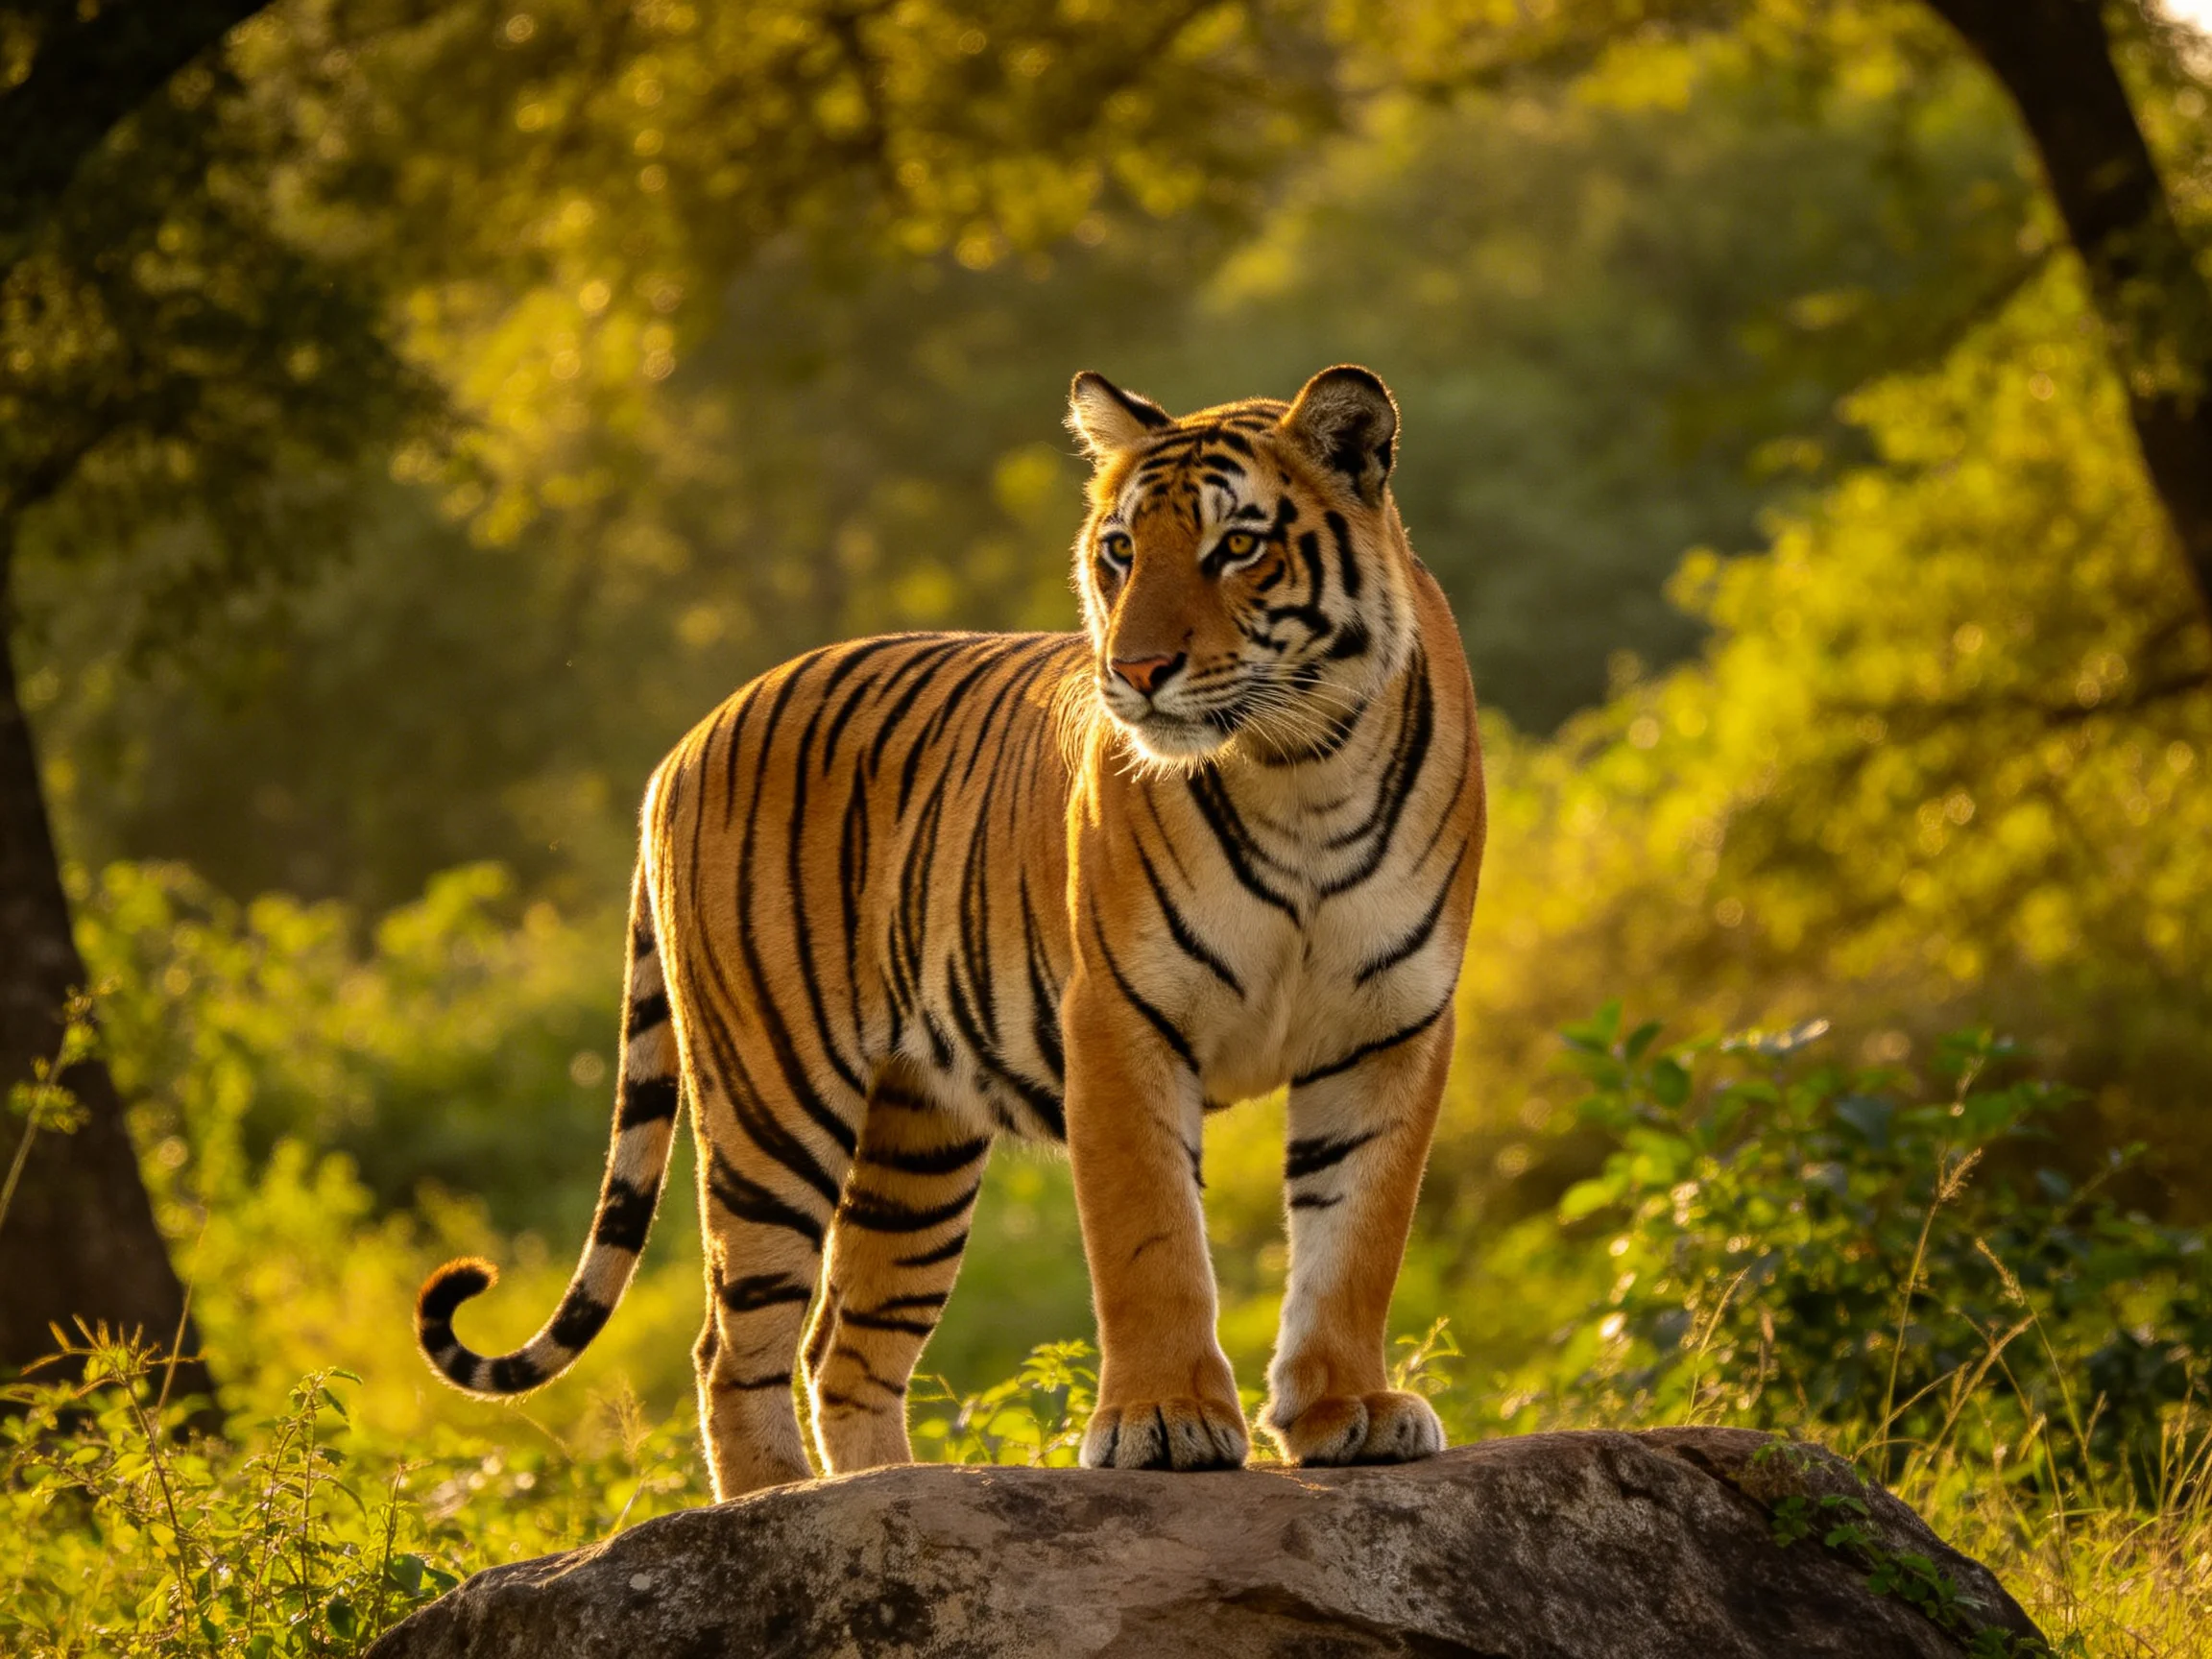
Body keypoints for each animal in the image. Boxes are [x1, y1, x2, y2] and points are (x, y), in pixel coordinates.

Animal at [414, 364, 1486, 1500]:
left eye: (1238, 545)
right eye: (1120, 550)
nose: (1137, 668)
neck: (1300, 768)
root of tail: (684, 742)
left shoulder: (1391, 1027)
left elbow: (1355, 1238)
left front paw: (1348, 1412)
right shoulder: (1123, 1019)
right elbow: (1153, 1241)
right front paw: (1164, 1422)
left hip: (916, 1141)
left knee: (846, 1345)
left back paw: (884, 1491)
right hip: (771, 1100)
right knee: (733, 1345)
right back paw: (781, 1504)